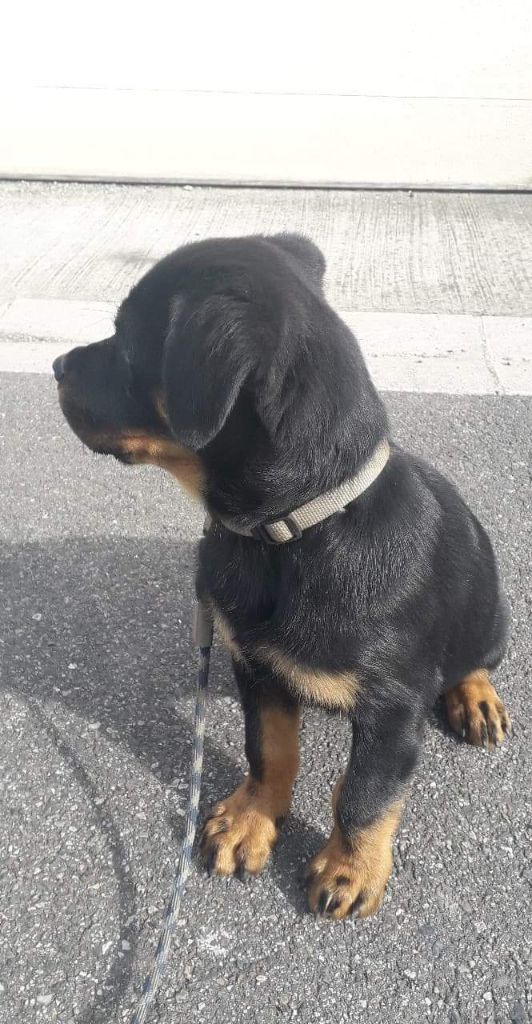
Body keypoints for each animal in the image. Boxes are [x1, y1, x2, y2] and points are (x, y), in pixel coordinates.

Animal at [53, 233, 510, 920]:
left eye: (128, 339)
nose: (55, 365)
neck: (290, 531)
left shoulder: (394, 705)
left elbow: (369, 792)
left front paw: (352, 868)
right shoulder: (255, 663)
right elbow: (268, 747)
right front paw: (251, 820)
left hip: (492, 615)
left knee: (476, 659)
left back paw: (476, 696)